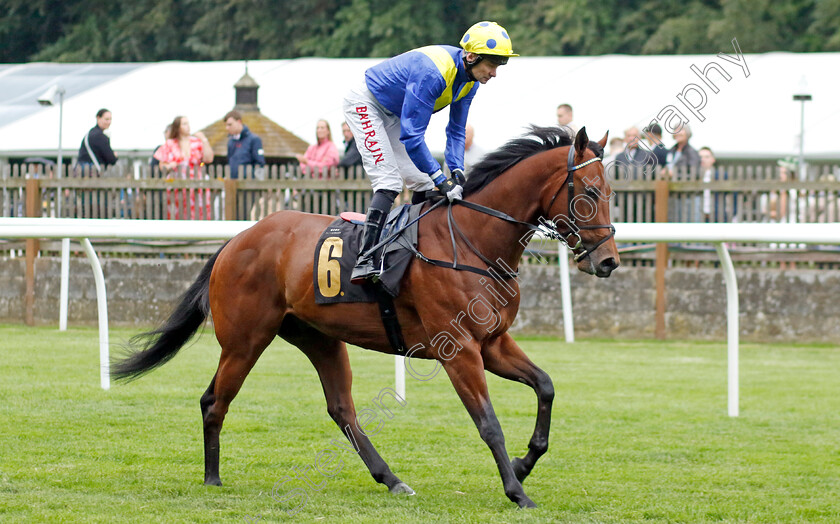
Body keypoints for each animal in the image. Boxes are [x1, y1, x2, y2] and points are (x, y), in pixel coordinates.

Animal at [113, 126, 616, 508]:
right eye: (590, 192)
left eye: (612, 192)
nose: (608, 260)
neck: (474, 241)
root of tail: (236, 240)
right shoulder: (458, 351)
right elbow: (488, 423)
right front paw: (516, 491)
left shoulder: (492, 343)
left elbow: (545, 386)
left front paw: (523, 464)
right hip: (245, 340)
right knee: (214, 401)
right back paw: (212, 477)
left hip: (319, 338)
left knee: (342, 410)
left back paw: (392, 479)